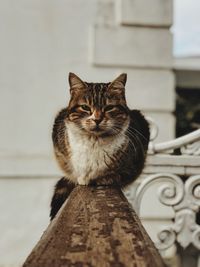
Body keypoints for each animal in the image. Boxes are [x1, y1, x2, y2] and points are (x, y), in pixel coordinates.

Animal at [50, 73, 150, 220]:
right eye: (85, 107)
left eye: (109, 108)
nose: (97, 119)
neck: (94, 141)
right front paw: (81, 178)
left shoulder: (134, 162)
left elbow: (118, 175)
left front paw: (103, 178)